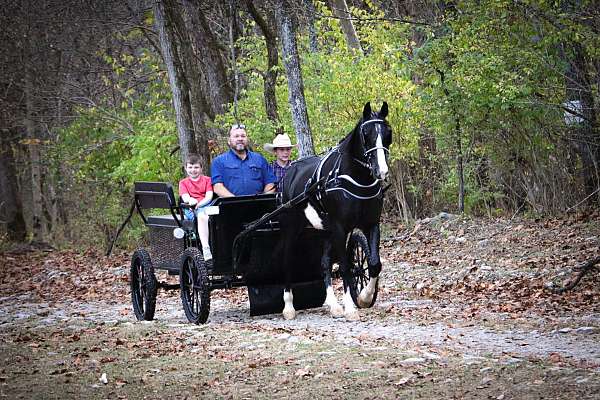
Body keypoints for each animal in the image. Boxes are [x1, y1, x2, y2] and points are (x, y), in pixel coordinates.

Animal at [278, 101, 392, 320]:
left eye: (388, 133)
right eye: (366, 133)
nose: (381, 171)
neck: (354, 178)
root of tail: (289, 173)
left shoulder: (371, 224)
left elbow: (374, 263)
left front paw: (364, 297)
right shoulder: (340, 227)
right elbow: (346, 266)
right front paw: (351, 308)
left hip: (324, 231)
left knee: (324, 262)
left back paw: (333, 305)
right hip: (291, 228)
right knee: (287, 262)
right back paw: (288, 307)